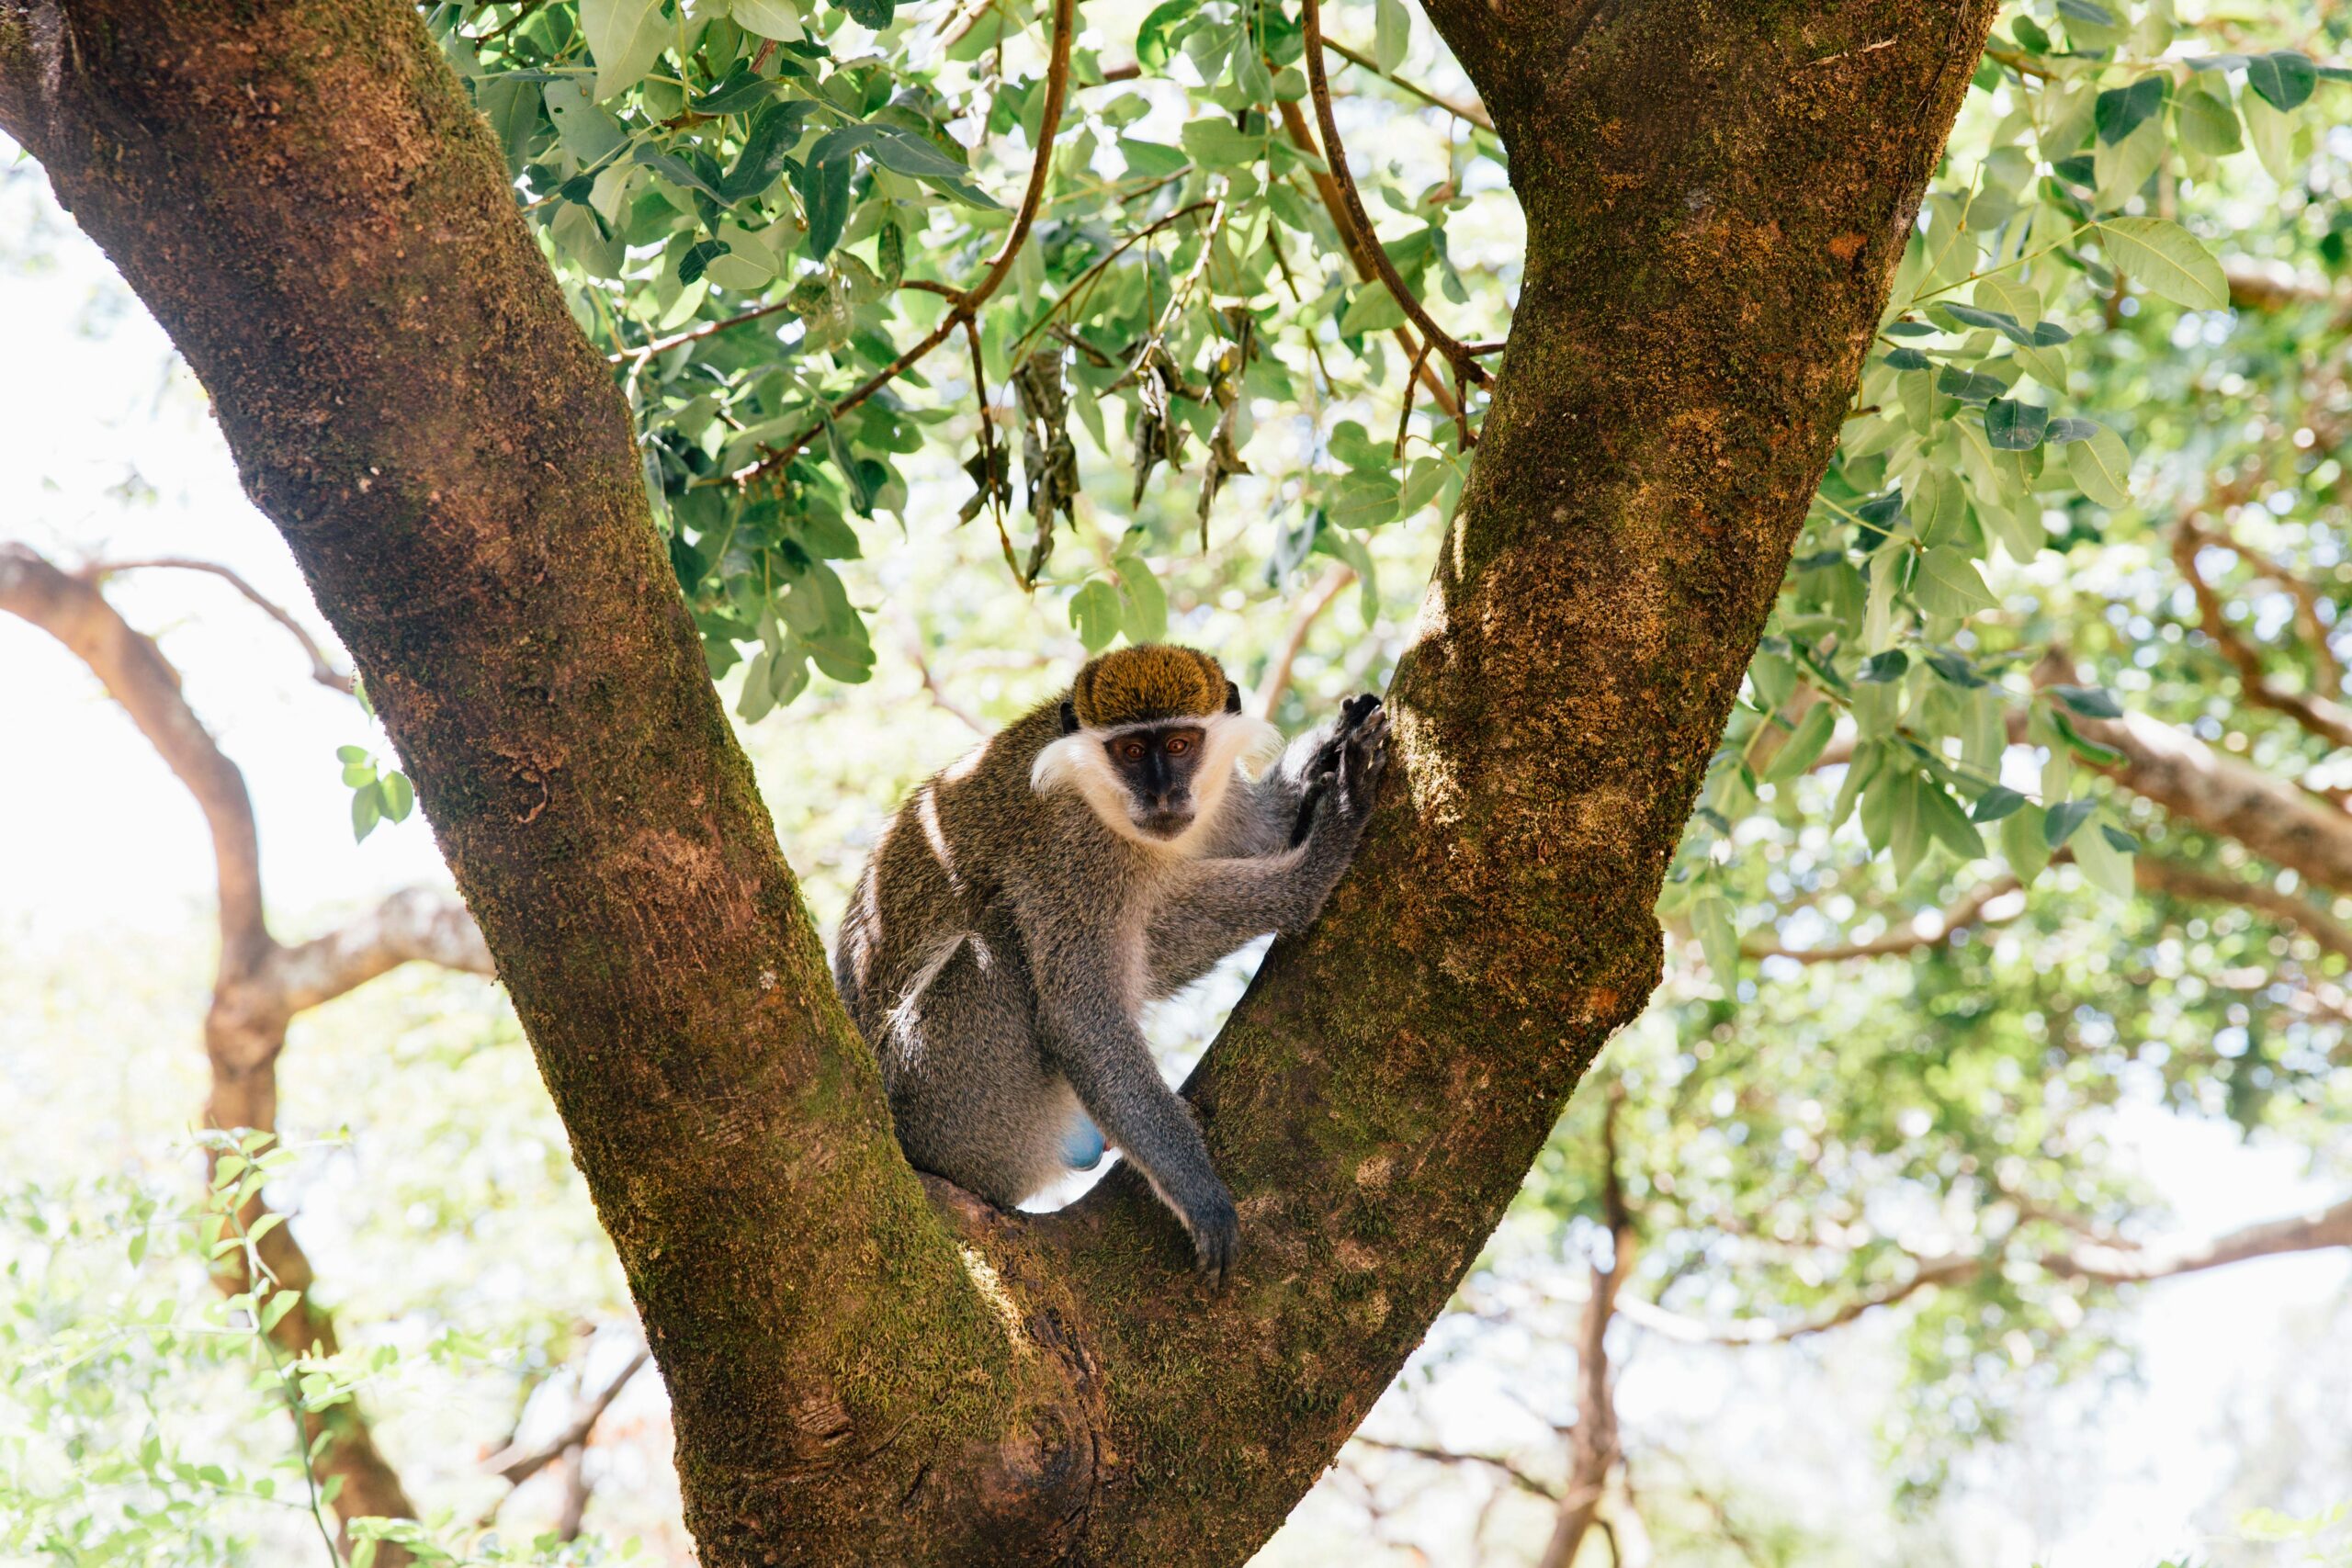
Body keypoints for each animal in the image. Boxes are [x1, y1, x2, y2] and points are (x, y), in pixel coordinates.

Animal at [833, 643, 1389, 1285]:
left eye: (1179, 745)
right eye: (1131, 752)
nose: (1163, 797)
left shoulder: (1215, 805)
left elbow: (1260, 837)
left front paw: (1328, 746)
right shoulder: (1073, 852)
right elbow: (1083, 1018)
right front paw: (1325, 847)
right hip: (951, 1103)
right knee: (1003, 936)